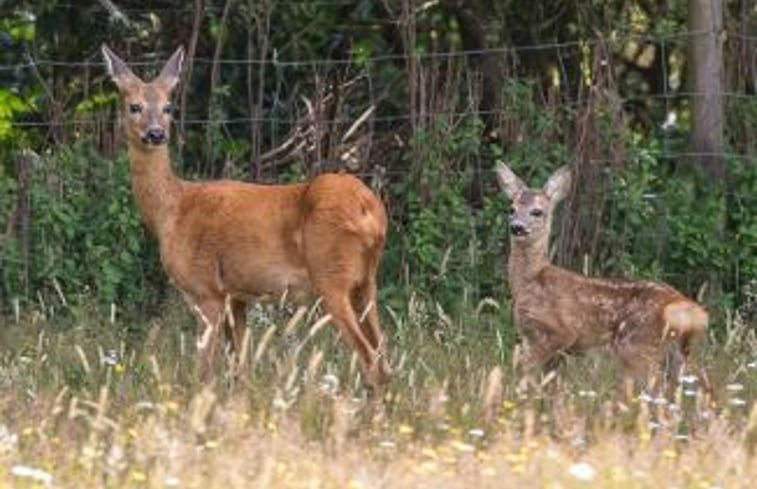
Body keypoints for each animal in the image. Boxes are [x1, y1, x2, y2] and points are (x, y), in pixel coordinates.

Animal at [102, 44, 390, 388]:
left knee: (371, 360)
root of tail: (369, 209)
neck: (172, 211)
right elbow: (239, 368)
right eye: (135, 106)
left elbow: (204, 371)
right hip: (366, 282)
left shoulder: (206, 289)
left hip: (331, 275)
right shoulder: (236, 296)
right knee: (384, 357)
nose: (156, 133)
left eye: (168, 107)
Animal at [496, 162, 708, 390]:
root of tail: (685, 308)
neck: (530, 281)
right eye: (511, 209)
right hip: (676, 353)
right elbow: (551, 384)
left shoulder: (559, 332)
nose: (517, 227)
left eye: (537, 212)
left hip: (637, 346)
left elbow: (522, 368)